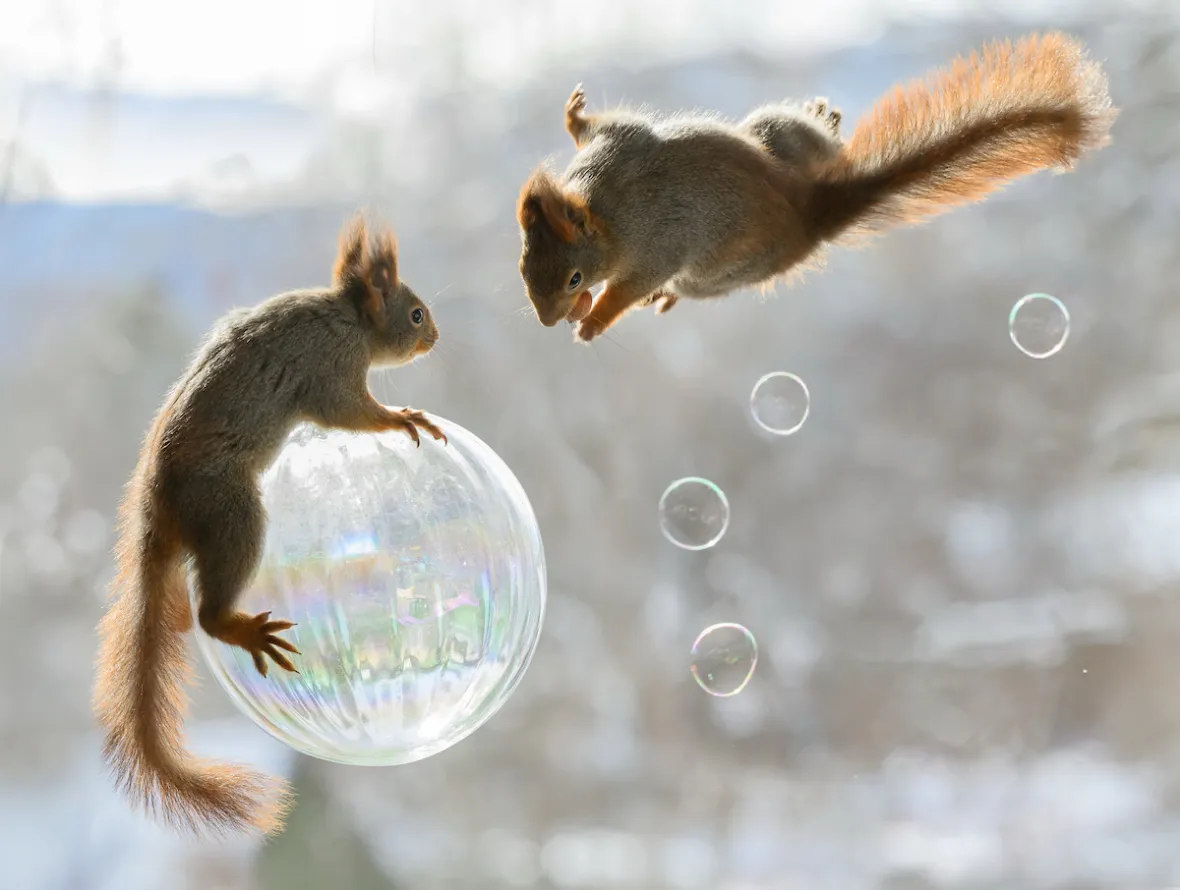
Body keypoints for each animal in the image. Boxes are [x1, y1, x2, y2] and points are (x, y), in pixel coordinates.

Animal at [92, 214, 447, 836]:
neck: (347, 315)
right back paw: (241, 630)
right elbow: (351, 412)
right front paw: (402, 418)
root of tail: (157, 513)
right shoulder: (330, 368)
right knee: (209, 614)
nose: (437, 337)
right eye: (415, 315)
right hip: (234, 515)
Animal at [515, 32, 1117, 342]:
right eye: (522, 267)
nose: (549, 319)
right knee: (821, 151)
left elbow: (628, 288)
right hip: (777, 137)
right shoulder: (614, 143)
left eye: (573, 277)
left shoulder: (654, 243)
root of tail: (808, 218)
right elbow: (591, 129)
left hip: (714, 269)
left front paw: (593, 319)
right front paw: (572, 116)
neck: (601, 206)